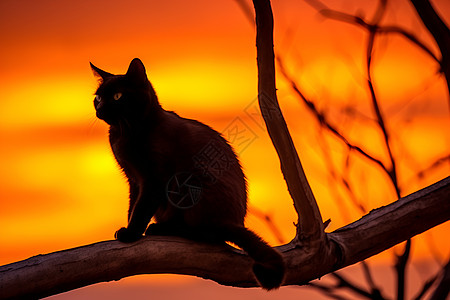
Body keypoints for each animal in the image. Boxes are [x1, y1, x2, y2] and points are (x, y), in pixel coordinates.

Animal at [89, 57, 284, 290]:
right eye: (98, 97)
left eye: (118, 96)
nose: (100, 108)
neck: (124, 133)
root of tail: (234, 221)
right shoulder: (133, 179)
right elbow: (132, 206)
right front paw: (128, 230)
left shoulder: (154, 180)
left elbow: (141, 208)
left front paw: (131, 233)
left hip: (189, 183)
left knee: (205, 233)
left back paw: (162, 229)